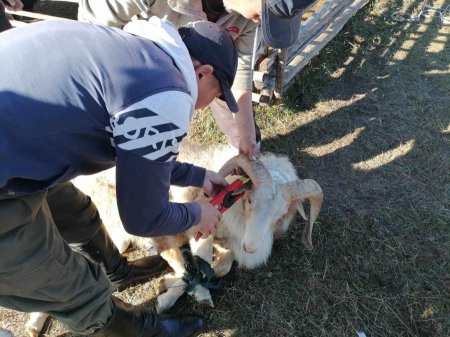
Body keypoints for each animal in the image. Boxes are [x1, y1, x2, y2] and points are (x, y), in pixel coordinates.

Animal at [25, 141, 324, 334]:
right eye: (250, 200)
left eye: (280, 214)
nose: (251, 247)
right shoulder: (194, 229)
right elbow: (195, 263)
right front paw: (175, 294)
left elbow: (220, 267)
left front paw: (171, 286)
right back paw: (34, 322)